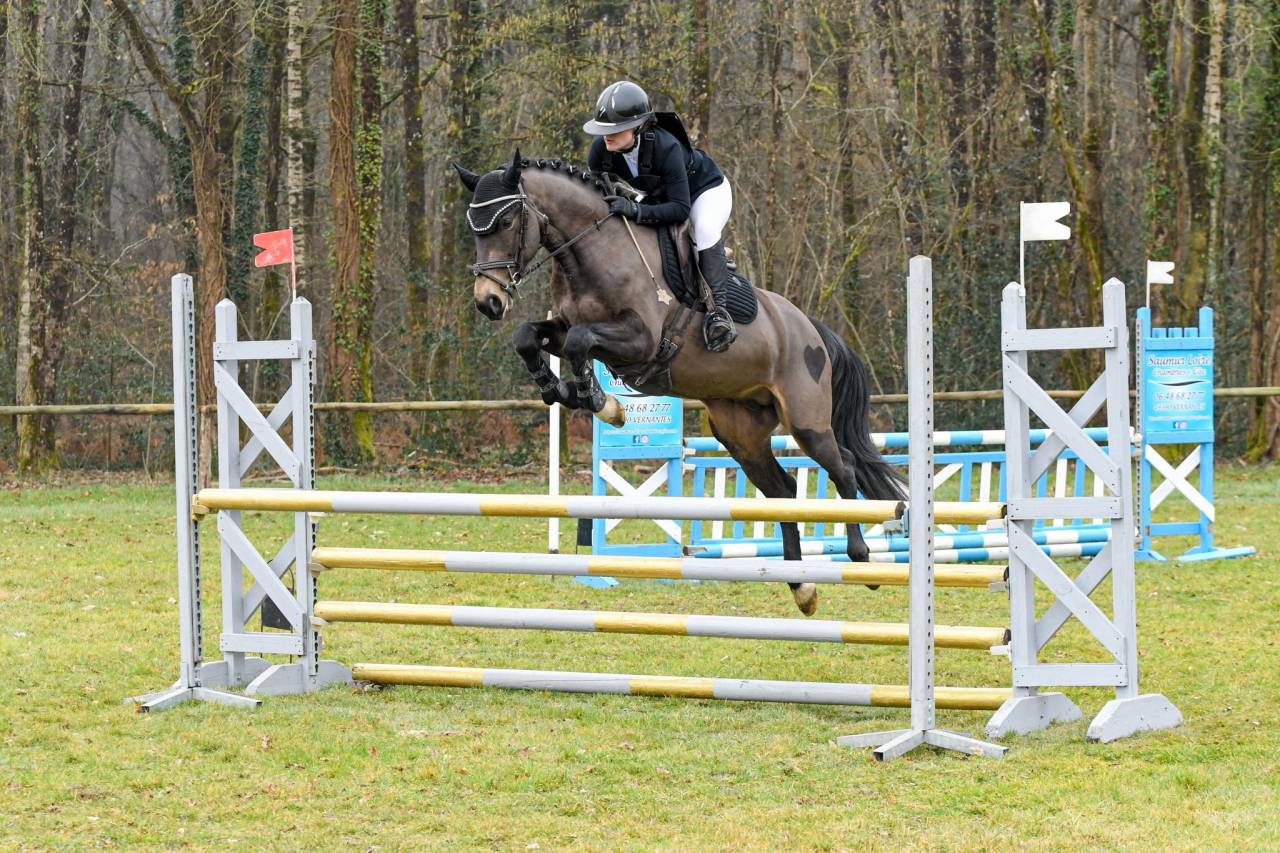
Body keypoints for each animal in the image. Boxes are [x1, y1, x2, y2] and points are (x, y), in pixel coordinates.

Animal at [454, 150, 904, 616]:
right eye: (474, 227)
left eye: (507, 222)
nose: (489, 302)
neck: (593, 251)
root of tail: (812, 329)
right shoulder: (564, 328)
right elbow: (529, 336)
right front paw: (561, 390)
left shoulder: (640, 339)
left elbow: (580, 341)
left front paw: (601, 401)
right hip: (740, 432)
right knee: (782, 489)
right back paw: (802, 586)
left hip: (807, 421)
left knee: (843, 467)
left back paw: (861, 560)